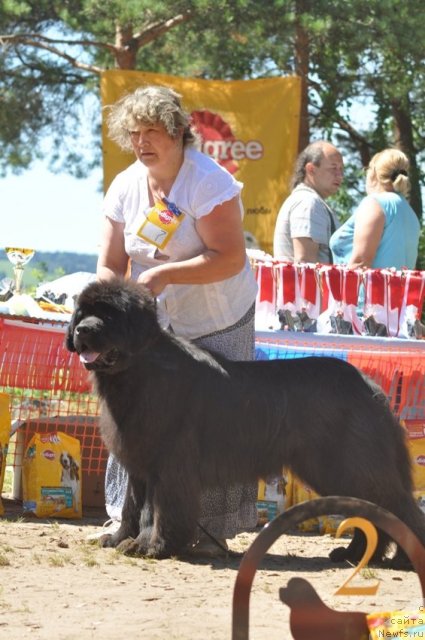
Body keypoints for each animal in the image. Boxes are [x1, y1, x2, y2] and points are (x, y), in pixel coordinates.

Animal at [65, 278, 424, 564]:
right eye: (82, 313)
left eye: (110, 315)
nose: (83, 330)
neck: (138, 371)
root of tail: (369, 386)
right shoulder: (139, 464)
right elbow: (131, 507)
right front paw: (119, 539)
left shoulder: (166, 466)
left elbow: (153, 511)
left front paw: (149, 547)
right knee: (371, 511)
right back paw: (357, 555)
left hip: (346, 466)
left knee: (394, 507)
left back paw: (403, 559)